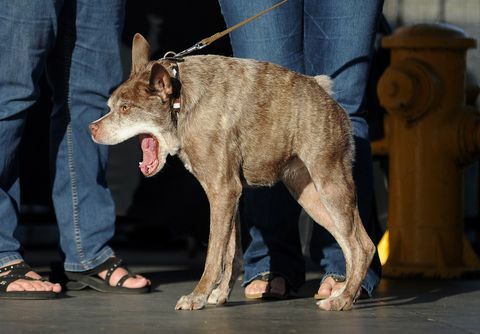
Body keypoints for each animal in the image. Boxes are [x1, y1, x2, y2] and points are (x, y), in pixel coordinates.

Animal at [89, 33, 376, 310]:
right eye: (111, 106)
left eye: (125, 108)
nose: (92, 128)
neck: (181, 102)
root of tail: (327, 95)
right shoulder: (230, 195)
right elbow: (231, 252)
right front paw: (219, 294)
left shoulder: (222, 191)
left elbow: (213, 255)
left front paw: (197, 297)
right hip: (310, 197)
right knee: (349, 244)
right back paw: (343, 291)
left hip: (330, 184)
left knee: (363, 246)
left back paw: (342, 299)